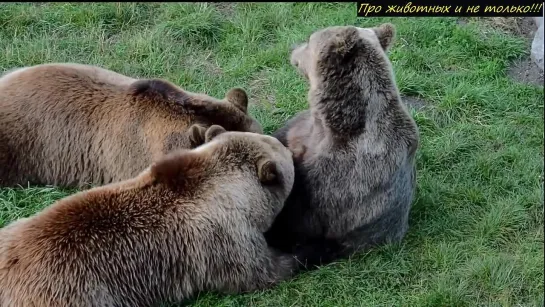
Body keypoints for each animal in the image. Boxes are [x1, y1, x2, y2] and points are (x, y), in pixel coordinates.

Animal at [0, 125, 298, 307]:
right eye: (285, 150)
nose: (287, 143)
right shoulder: (224, 239)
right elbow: (259, 271)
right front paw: (298, 254)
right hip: (75, 293)